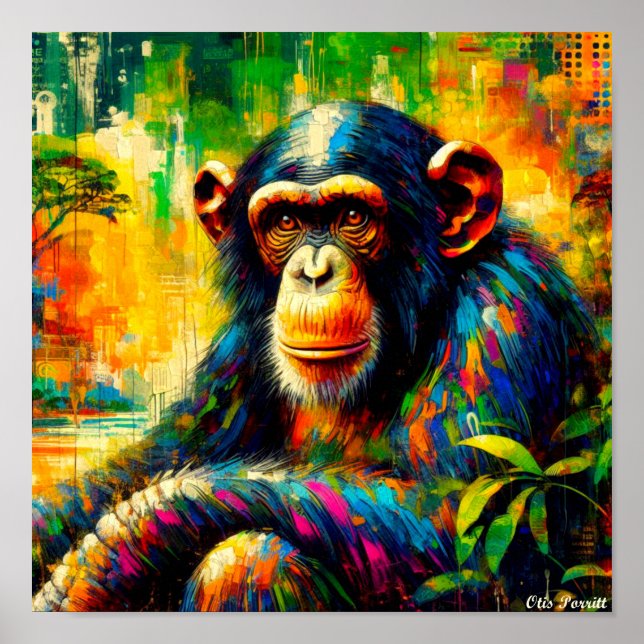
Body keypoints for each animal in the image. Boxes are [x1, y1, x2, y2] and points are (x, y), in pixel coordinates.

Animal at [33, 101, 597, 611]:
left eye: (353, 217)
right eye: (285, 220)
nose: (313, 271)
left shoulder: (503, 311)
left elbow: (458, 520)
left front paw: (108, 553)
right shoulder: (238, 351)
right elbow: (152, 458)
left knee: (249, 560)